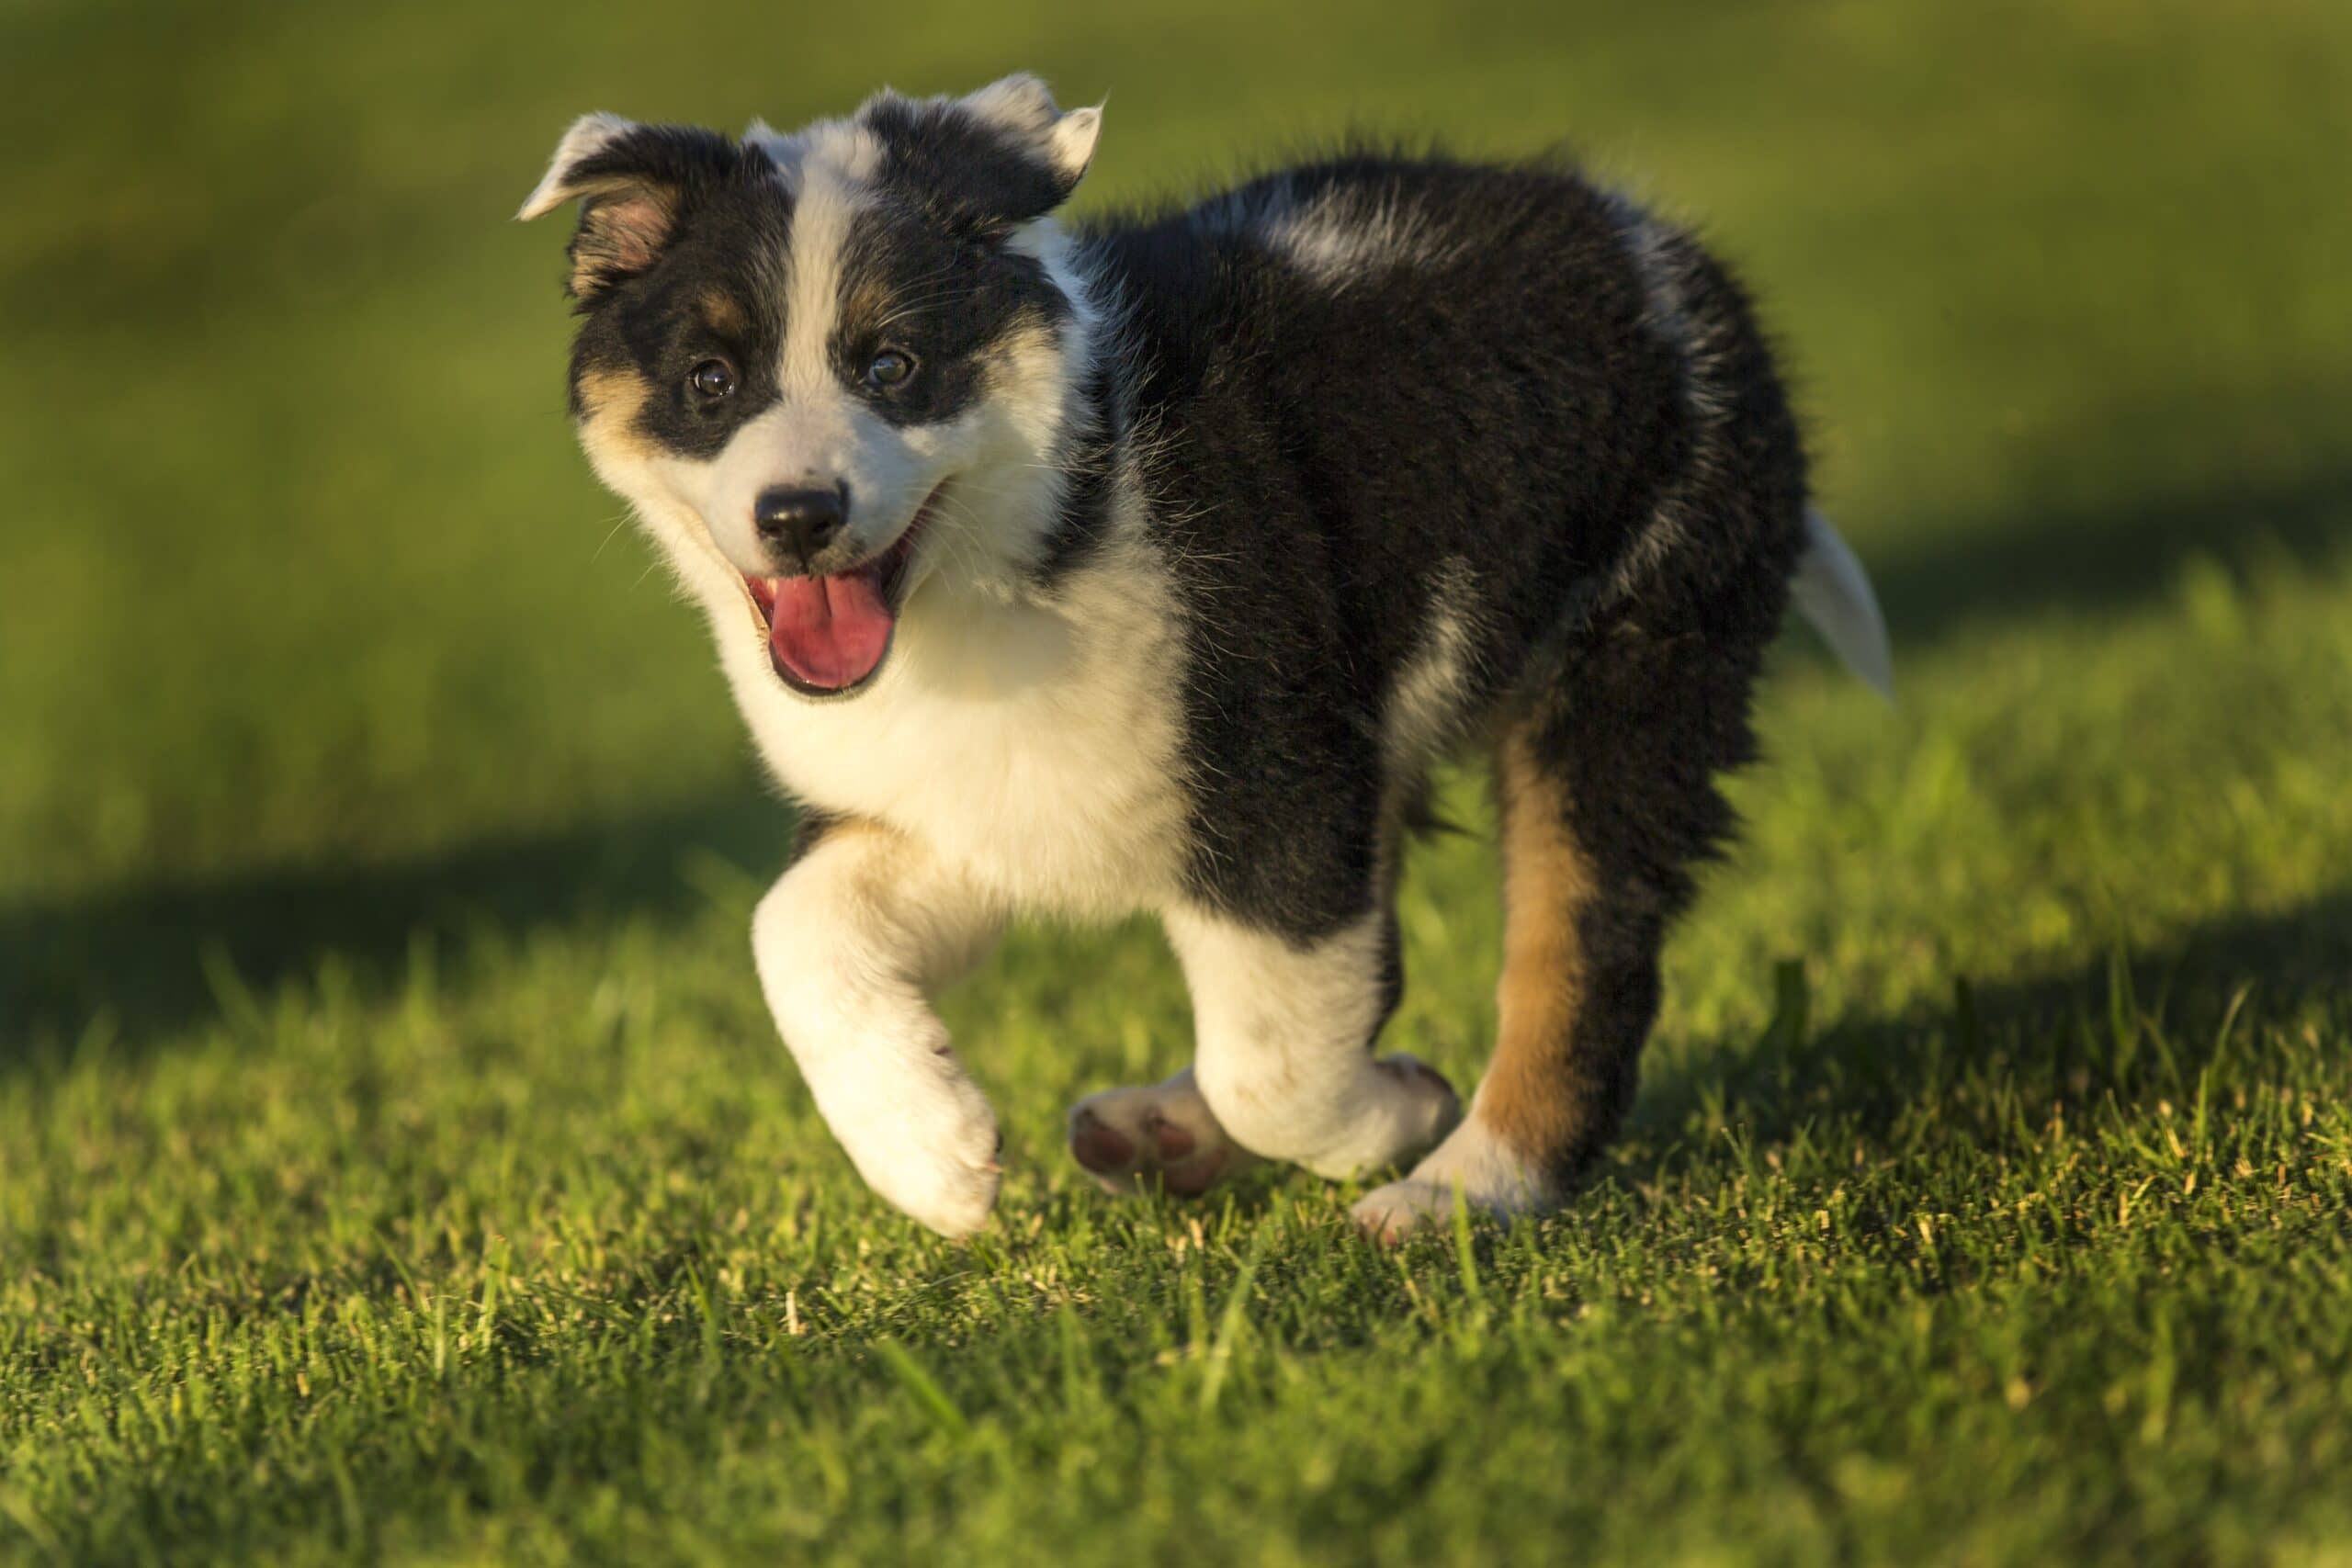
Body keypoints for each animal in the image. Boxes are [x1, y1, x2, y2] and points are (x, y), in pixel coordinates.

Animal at [519, 76, 1891, 1241]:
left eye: (891, 365)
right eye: (709, 381)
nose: (799, 516)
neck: (1037, 532)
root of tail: (1658, 253)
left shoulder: (1275, 780)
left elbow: (1273, 1058)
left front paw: (1390, 1116)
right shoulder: (974, 803)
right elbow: (791, 925)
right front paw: (932, 1160)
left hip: (1633, 645)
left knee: (1579, 954)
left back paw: (1461, 1188)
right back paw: (1166, 1132)